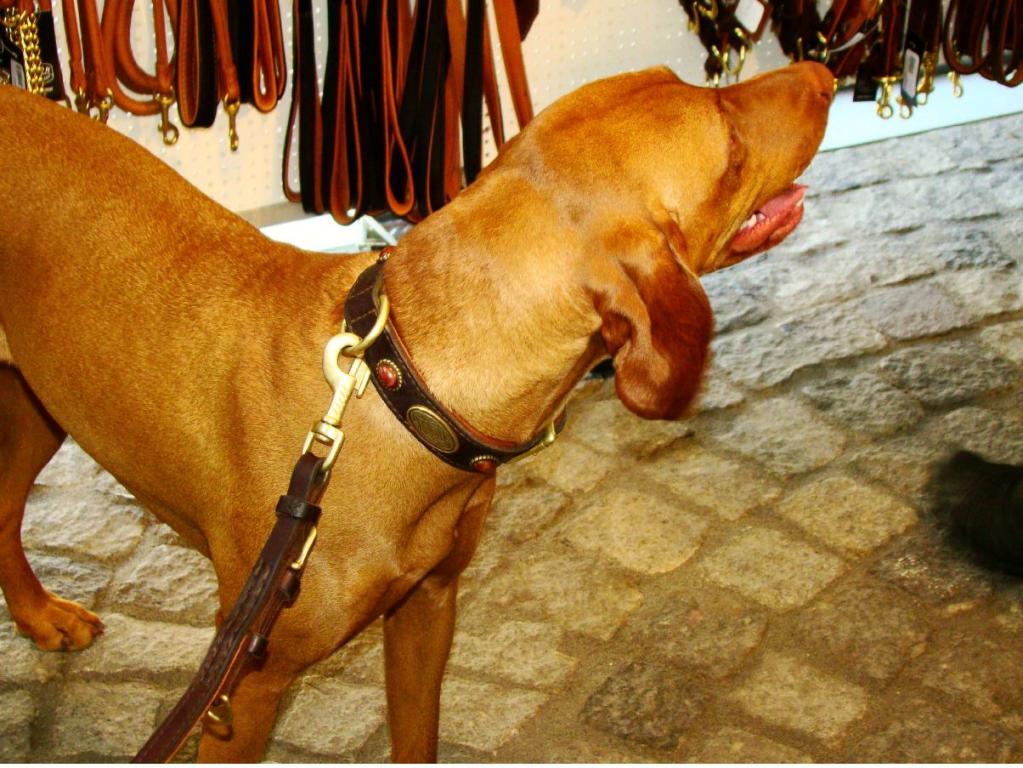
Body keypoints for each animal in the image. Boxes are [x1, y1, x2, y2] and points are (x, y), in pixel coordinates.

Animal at [0, 61, 834, 761]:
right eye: (729, 147)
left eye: (691, 76)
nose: (822, 72)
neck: (402, 384)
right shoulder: (245, 689)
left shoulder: (428, 606)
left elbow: (417, 736)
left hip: (42, 400)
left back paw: (40, 618)